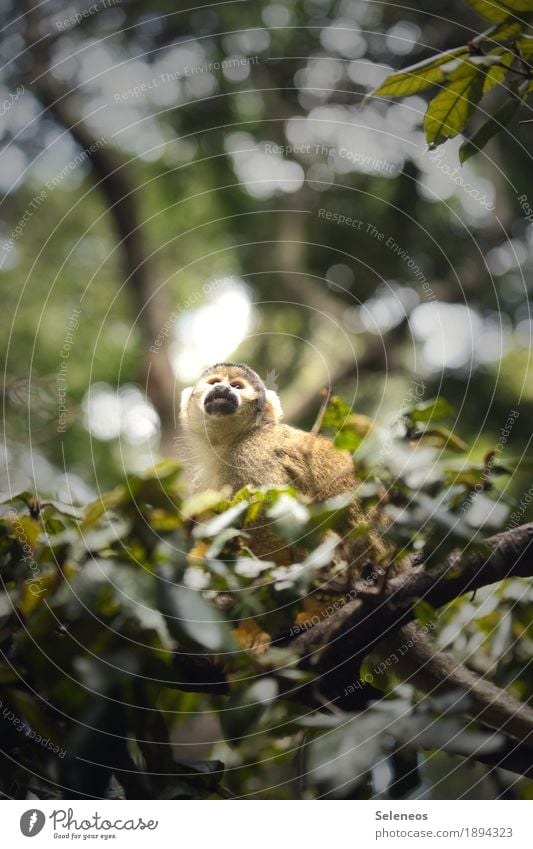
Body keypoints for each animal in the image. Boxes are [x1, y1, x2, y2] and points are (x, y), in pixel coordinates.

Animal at [180, 362, 533, 740]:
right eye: (215, 383)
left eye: (237, 386)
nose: (223, 391)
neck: (228, 443)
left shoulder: (254, 456)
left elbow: (274, 523)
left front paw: (252, 629)